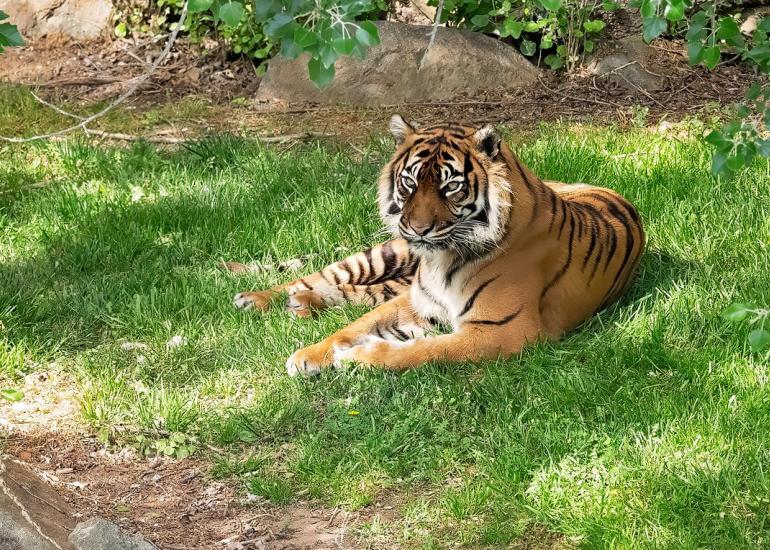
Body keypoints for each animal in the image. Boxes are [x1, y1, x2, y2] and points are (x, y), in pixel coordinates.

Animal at [232, 115, 645, 376]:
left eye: (450, 187)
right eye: (410, 182)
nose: (418, 230)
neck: (444, 260)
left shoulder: (503, 330)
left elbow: (426, 350)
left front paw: (358, 357)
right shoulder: (417, 301)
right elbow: (354, 325)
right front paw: (310, 355)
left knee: (357, 291)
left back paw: (301, 305)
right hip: (386, 253)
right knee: (326, 277)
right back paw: (259, 298)